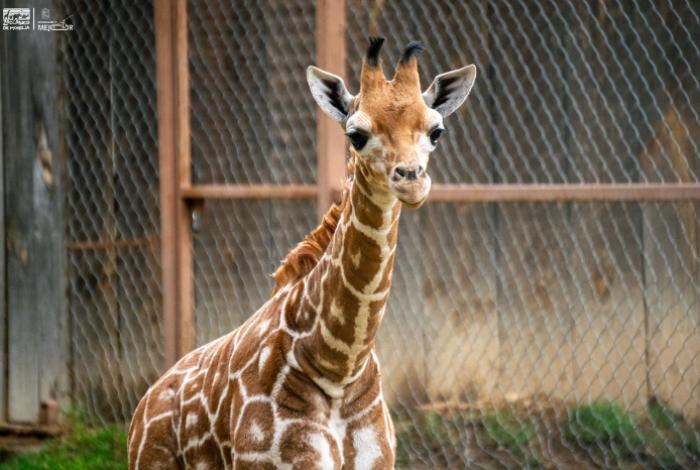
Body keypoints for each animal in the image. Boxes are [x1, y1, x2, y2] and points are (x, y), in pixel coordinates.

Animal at [128, 37, 476, 470]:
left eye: (436, 130)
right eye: (356, 134)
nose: (411, 180)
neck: (338, 366)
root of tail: (141, 409)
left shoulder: (377, 460)